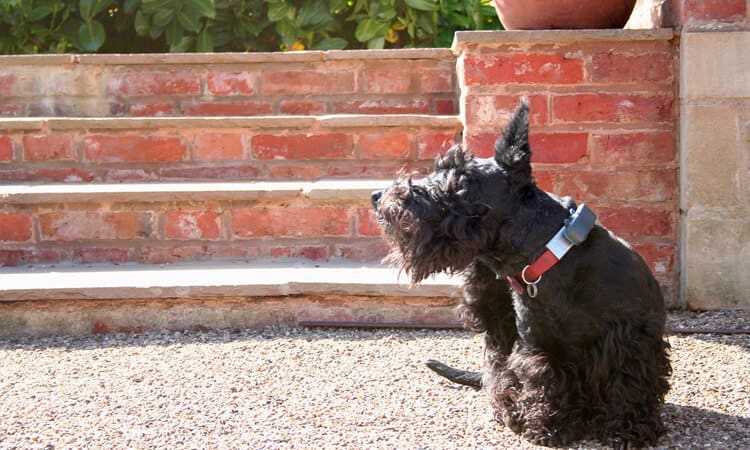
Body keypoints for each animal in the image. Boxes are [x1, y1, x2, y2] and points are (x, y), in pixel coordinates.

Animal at [374, 100, 672, 448]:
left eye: (461, 179)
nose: (379, 197)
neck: (553, 259)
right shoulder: (538, 346)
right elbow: (544, 381)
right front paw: (548, 426)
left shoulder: (632, 338)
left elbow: (629, 382)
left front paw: (628, 429)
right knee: (496, 370)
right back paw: (509, 409)